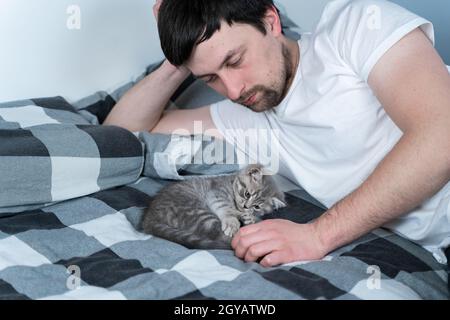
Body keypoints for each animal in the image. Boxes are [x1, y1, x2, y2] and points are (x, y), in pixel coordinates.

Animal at [140, 165, 284, 250]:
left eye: (257, 206)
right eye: (247, 193)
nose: (246, 206)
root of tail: (150, 218)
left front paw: (249, 217)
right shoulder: (216, 193)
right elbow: (226, 208)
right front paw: (233, 221)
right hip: (197, 212)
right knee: (219, 235)